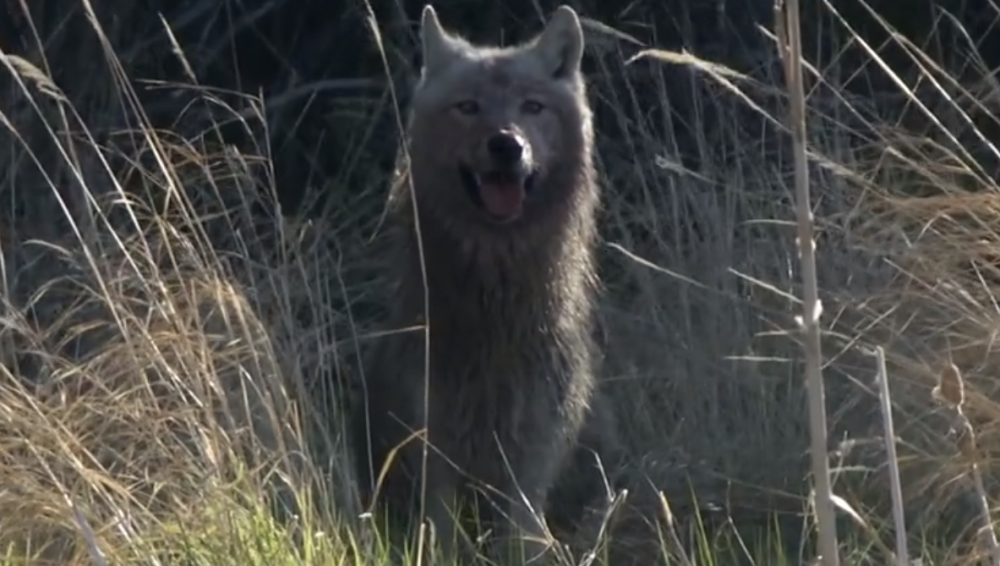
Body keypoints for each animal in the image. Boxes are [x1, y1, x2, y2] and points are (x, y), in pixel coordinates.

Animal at [350, 4, 616, 564]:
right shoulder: (433, 442)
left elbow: (521, 534)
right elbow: (441, 532)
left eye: (532, 106)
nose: (506, 143)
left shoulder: (534, 449)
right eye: (468, 107)